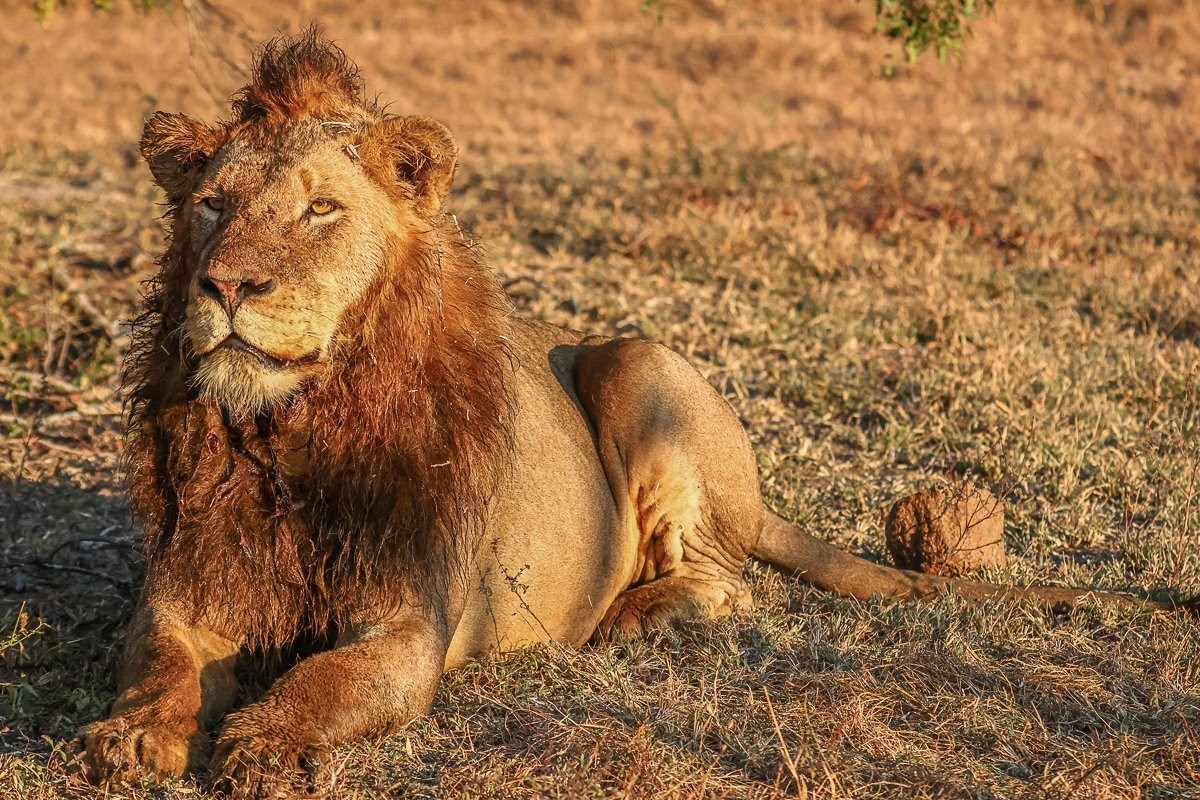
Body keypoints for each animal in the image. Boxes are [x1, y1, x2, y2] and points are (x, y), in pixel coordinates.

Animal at [76, 30, 1181, 797]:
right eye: (213, 205)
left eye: (320, 209)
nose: (227, 285)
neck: (287, 435)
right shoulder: (186, 588)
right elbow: (155, 667)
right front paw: (125, 739)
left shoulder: (411, 621)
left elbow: (325, 683)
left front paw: (263, 742)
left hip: (636, 362)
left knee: (733, 583)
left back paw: (627, 617)